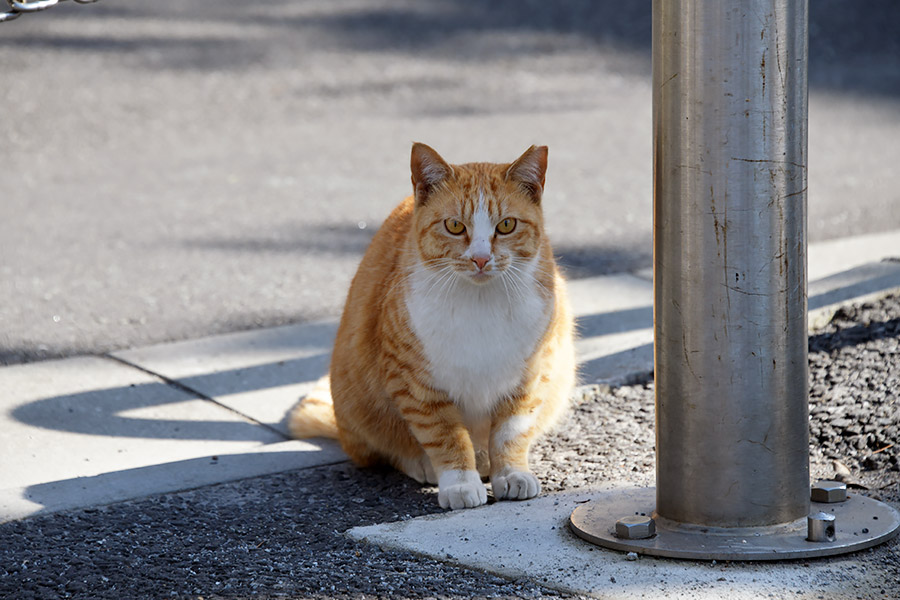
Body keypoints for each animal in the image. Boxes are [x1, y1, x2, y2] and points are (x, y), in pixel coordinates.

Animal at [288, 143, 576, 508]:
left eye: (507, 225)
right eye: (454, 226)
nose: (480, 258)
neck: (480, 304)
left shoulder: (530, 379)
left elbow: (510, 434)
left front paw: (511, 473)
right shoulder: (416, 385)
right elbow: (446, 436)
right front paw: (460, 483)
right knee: (384, 451)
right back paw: (425, 464)